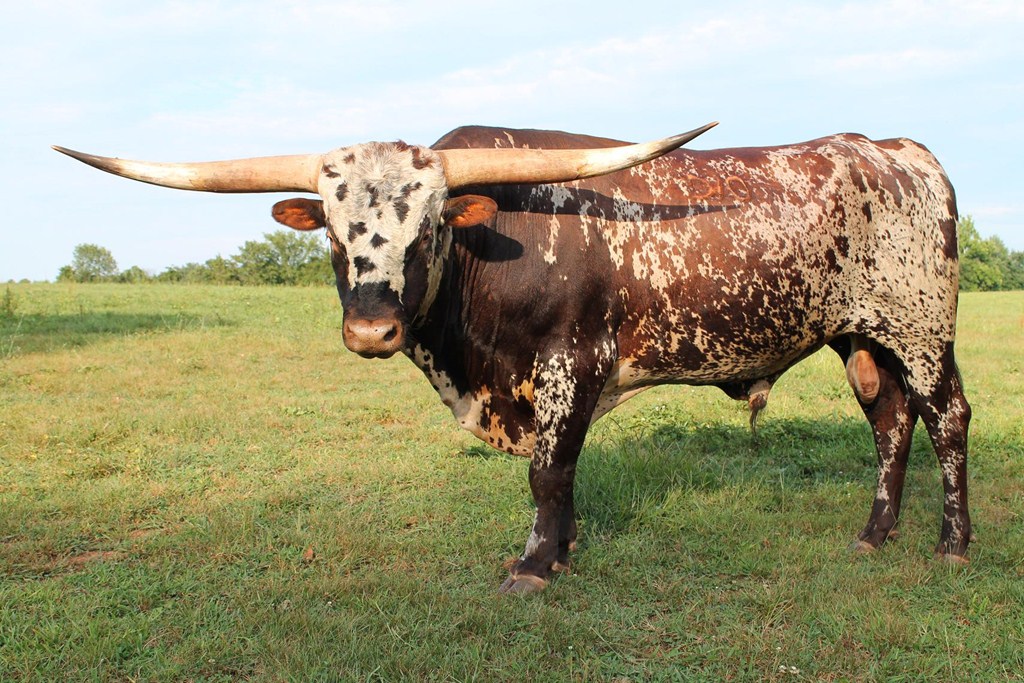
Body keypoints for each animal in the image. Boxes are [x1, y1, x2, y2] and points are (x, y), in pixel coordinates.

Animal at [53, 121, 972, 593]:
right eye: (335, 233)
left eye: (428, 225)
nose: (371, 331)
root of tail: (899, 150)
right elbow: (557, 473)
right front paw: (556, 553)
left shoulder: (573, 362)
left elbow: (547, 471)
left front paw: (533, 567)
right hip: (861, 336)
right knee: (890, 422)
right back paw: (874, 534)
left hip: (921, 329)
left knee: (947, 419)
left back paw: (952, 544)